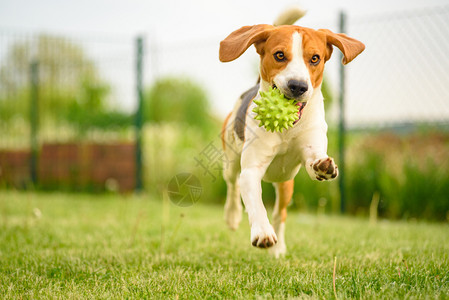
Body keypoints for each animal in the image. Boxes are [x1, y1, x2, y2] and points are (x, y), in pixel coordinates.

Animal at [219, 23, 362, 258]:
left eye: (315, 58)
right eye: (279, 55)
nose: (298, 86)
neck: (288, 128)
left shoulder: (311, 148)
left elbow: (315, 162)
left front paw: (323, 167)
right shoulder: (251, 171)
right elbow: (255, 202)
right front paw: (263, 233)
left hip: (285, 183)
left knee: (280, 213)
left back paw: (278, 250)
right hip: (230, 159)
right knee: (232, 185)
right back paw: (232, 216)